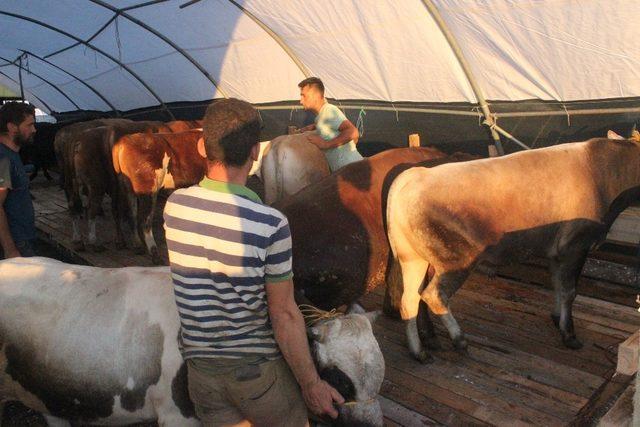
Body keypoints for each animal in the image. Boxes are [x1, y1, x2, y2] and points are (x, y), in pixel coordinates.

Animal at [112, 130, 205, 264]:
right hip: (148, 188)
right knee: (144, 220)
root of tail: (124, 140)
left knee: (130, 214)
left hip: (127, 188)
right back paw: (155, 254)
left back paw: (135, 245)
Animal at [388, 135, 640, 364]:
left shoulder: (556, 252)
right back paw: (459, 340)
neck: (602, 175)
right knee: (433, 296)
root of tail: (412, 176)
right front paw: (569, 335)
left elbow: (557, 285)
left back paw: (419, 351)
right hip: (457, 260)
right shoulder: (576, 245)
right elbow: (569, 291)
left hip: (413, 258)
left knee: (409, 299)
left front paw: (556, 317)